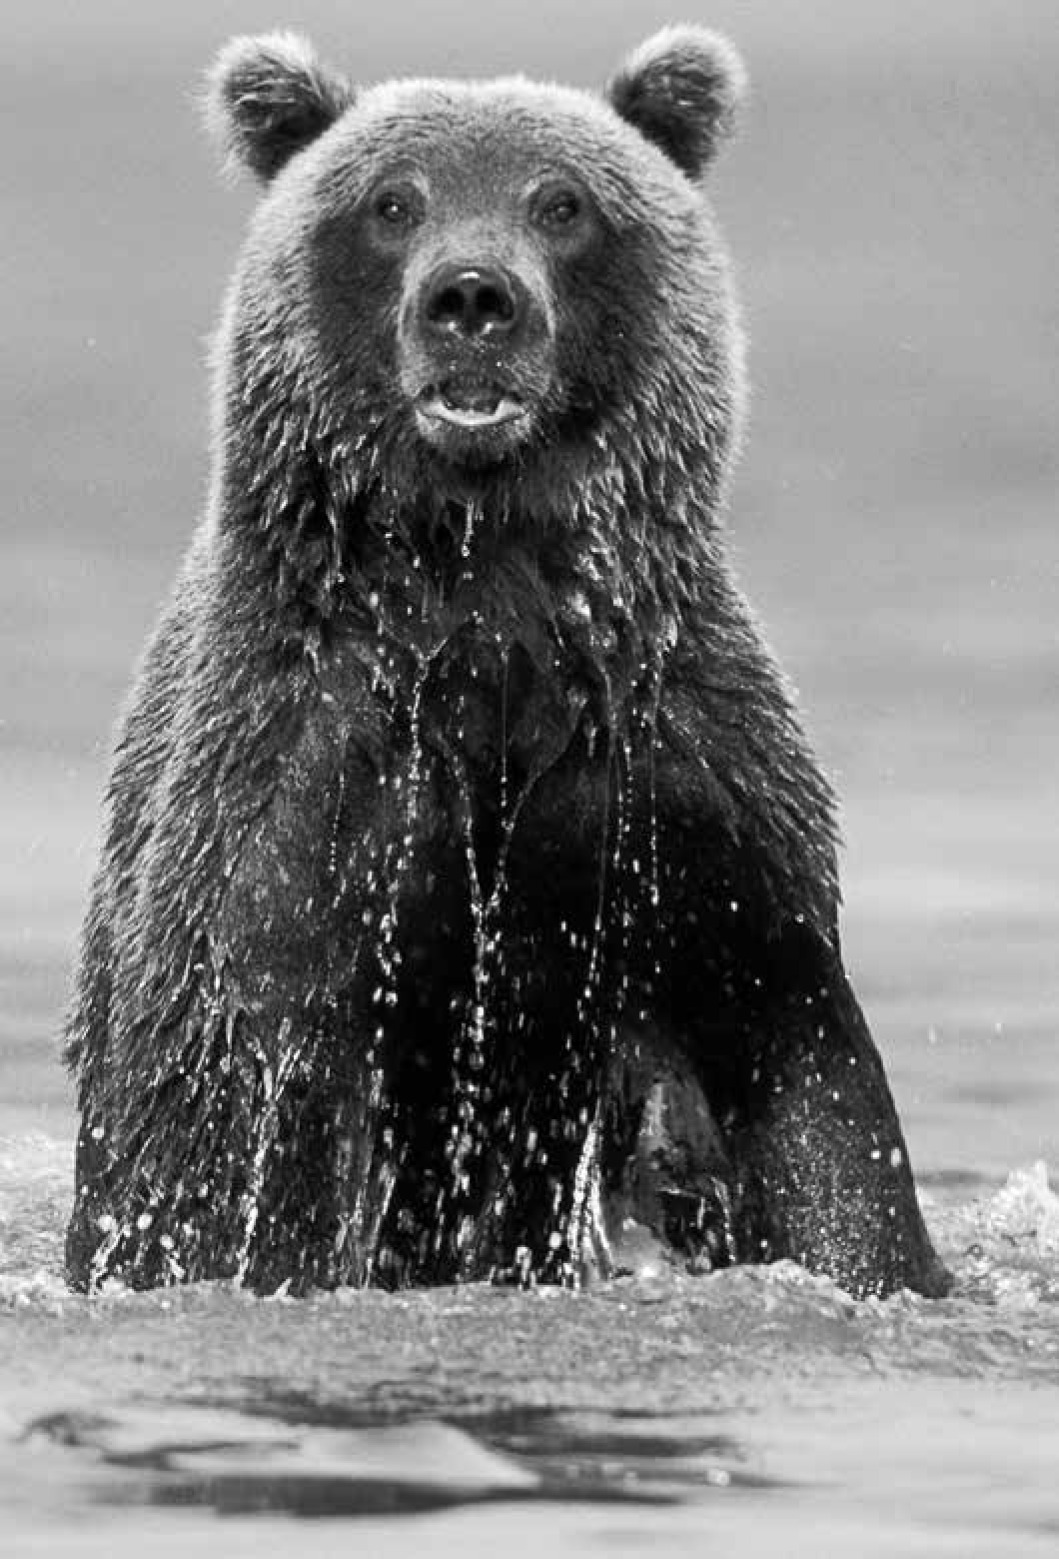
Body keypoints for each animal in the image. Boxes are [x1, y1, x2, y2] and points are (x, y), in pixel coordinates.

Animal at [64, 27, 954, 1303]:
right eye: (391, 202)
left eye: (563, 202)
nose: (474, 296)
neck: (491, 610)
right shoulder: (299, 788)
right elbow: (227, 1131)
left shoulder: (679, 782)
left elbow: (808, 1092)